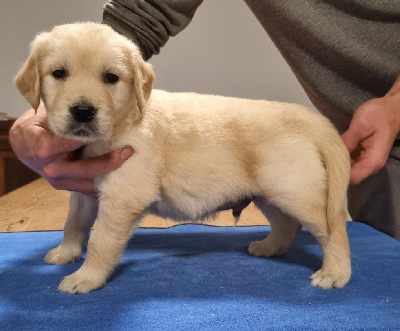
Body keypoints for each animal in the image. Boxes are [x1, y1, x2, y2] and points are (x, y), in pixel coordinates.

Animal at [14, 22, 350, 294]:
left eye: (111, 78)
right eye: (59, 73)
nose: (83, 111)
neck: (124, 120)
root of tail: (309, 118)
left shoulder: (124, 194)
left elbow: (101, 241)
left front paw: (86, 277)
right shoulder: (84, 191)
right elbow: (73, 222)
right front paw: (66, 252)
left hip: (296, 191)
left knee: (333, 229)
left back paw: (335, 272)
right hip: (270, 193)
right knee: (287, 226)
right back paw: (268, 248)